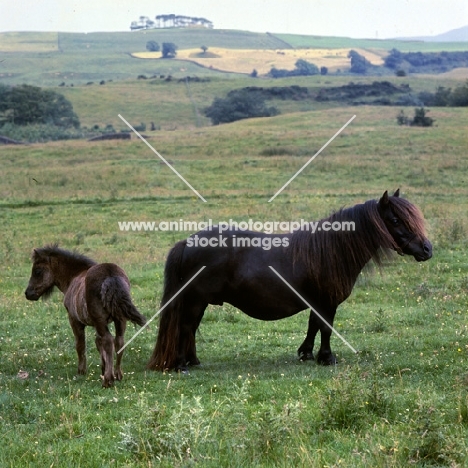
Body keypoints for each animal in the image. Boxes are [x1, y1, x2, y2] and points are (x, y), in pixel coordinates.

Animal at [25, 245, 146, 388]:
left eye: (37, 271)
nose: (28, 293)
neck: (74, 276)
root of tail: (110, 274)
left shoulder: (75, 320)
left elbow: (80, 344)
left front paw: (81, 371)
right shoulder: (97, 323)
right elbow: (98, 343)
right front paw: (103, 367)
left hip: (101, 320)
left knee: (108, 341)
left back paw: (108, 380)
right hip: (120, 319)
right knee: (119, 341)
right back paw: (117, 374)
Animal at [148, 188, 434, 372]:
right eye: (395, 219)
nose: (427, 249)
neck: (332, 250)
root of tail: (187, 242)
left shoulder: (317, 302)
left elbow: (313, 326)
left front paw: (306, 353)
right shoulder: (327, 302)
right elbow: (325, 327)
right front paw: (326, 358)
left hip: (200, 302)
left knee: (191, 328)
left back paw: (193, 361)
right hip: (195, 300)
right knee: (186, 327)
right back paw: (181, 365)